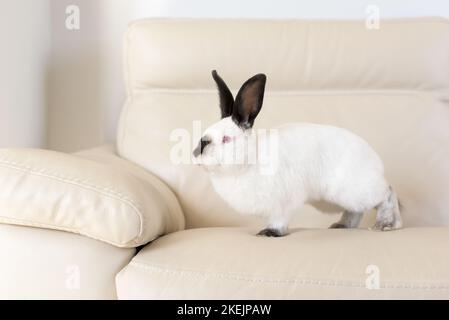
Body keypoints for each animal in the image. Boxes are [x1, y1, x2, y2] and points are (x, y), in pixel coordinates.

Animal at [191, 71, 400, 236]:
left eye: (226, 139)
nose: (199, 149)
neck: (249, 161)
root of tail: (376, 161)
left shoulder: (282, 202)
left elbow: (279, 219)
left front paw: (269, 232)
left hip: (354, 190)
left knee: (387, 194)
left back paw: (387, 225)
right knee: (356, 210)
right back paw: (341, 225)